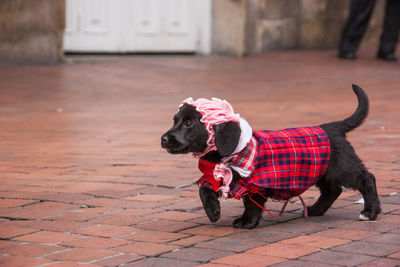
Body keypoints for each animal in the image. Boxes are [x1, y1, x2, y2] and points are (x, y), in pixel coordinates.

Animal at [160, 86, 382, 230]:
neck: (231, 154)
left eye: (189, 123)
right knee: (332, 190)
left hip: (342, 167)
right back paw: (315, 210)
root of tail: (332, 127)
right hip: (322, 170)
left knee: (366, 179)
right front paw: (213, 211)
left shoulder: (256, 183)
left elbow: (252, 203)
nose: (163, 139)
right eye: (175, 120)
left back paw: (370, 212)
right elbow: (204, 190)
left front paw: (246, 222)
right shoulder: (215, 175)